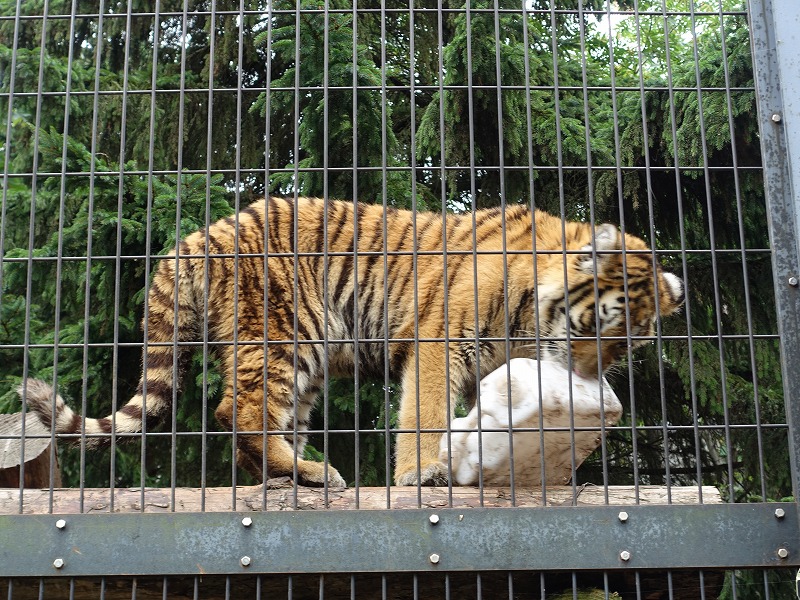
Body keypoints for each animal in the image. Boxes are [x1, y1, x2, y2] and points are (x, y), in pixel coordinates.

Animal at [20, 197, 680, 488]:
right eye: (603, 327)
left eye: (629, 347)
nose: (593, 376)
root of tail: (202, 234)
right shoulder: (441, 341)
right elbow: (423, 411)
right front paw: (419, 475)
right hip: (286, 334)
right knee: (239, 409)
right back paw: (310, 472)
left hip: (303, 366)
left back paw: (296, 476)